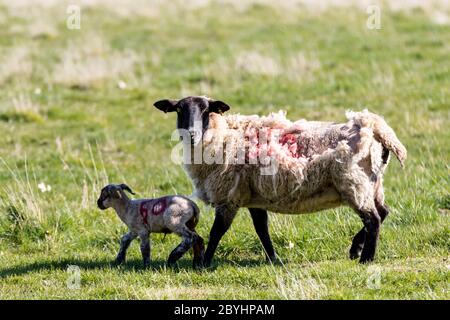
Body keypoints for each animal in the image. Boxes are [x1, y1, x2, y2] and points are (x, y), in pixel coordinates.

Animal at [154, 96, 408, 266]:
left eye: (206, 110)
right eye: (178, 109)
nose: (191, 133)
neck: (223, 136)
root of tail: (375, 129)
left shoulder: (229, 197)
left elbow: (217, 231)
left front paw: (204, 262)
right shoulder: (254, 197)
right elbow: (261, 229)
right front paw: (273, 258)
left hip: (355, 183)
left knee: (373, 219)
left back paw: (366, 258)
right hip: (372, 184)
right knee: (383, 212)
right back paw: (356, 248)